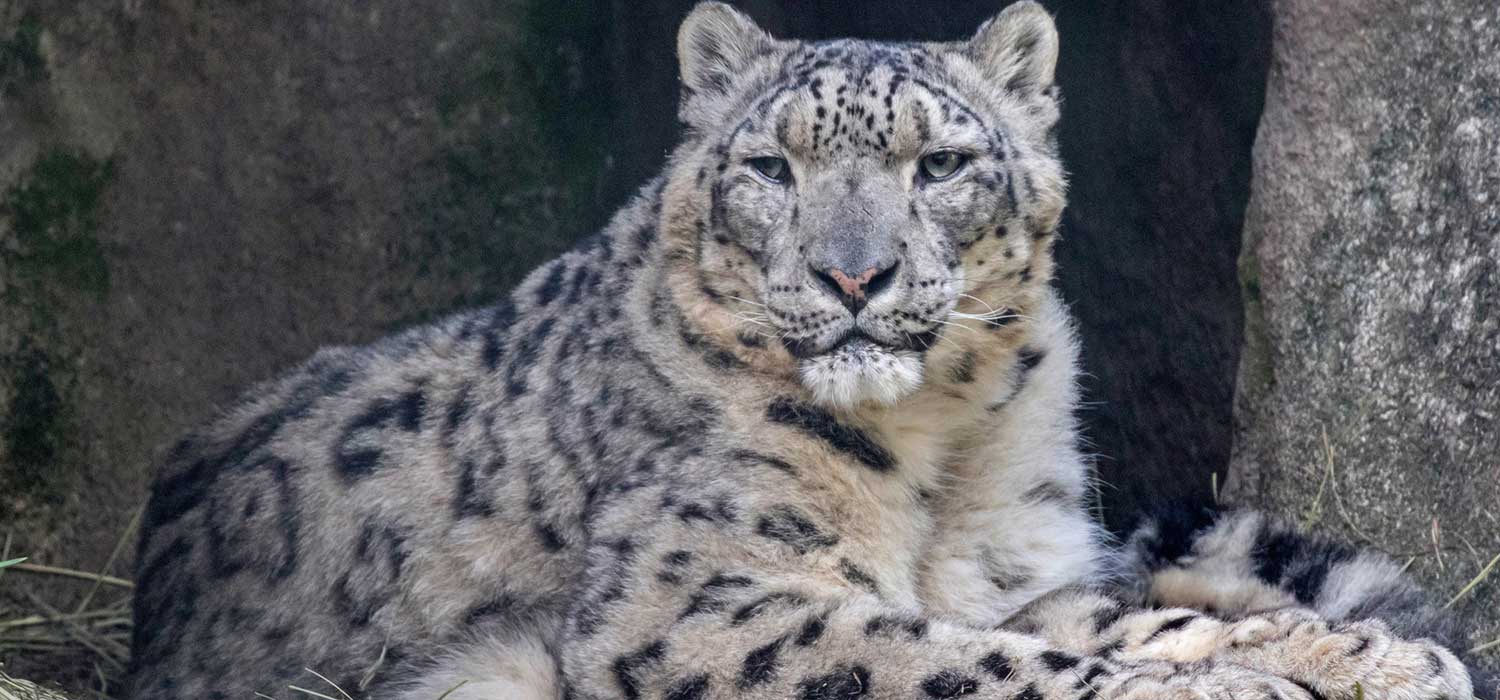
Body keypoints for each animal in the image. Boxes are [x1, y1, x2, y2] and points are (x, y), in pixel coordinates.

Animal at [123, 2, 1482, 698]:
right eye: (773, 167)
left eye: (941, 162)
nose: (852, 274)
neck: (942, 450)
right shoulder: (700, 596)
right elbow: (954, 658)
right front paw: (1234, 683)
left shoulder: (1020, 572)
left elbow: (1094, 618)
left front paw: (1368, 658)